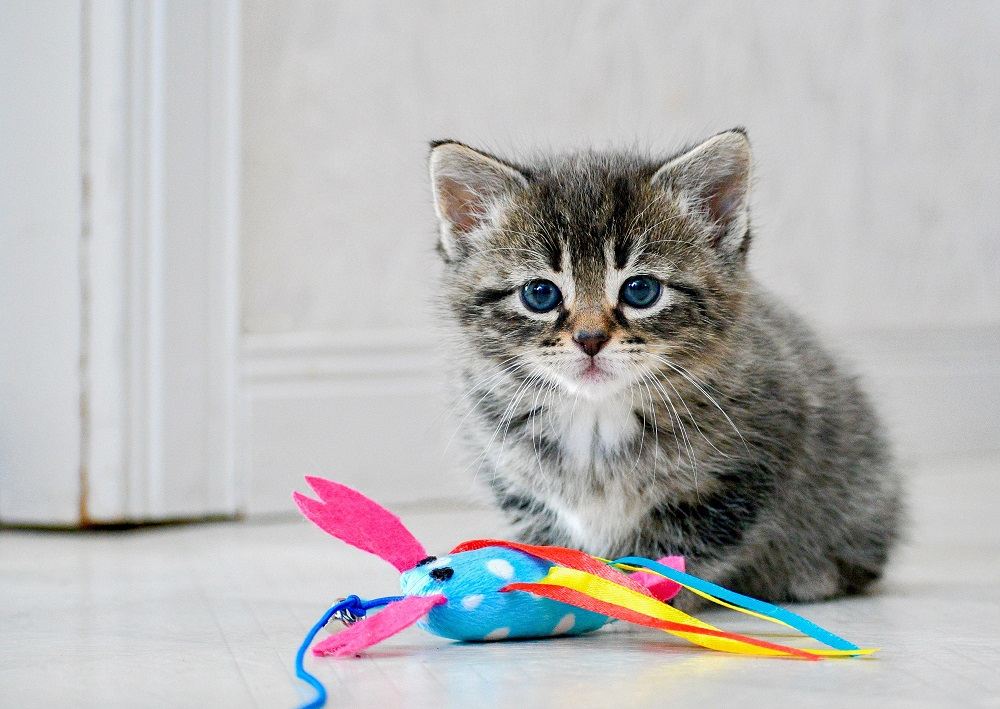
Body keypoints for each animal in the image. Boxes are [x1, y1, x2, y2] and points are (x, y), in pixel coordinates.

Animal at [426, 131, 904, 608]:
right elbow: (548, 536)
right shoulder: (516, 479)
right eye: (540, 294)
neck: (596, 417)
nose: (590, 338)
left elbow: (678, 547)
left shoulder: (751, 463)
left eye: (641, 290)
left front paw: (637, 593)